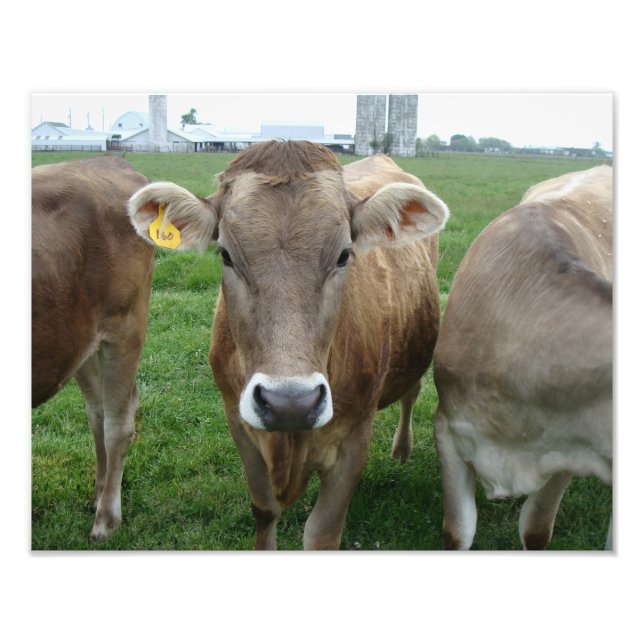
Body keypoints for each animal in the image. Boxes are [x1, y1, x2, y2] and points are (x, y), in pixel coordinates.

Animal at [32, 156, 154, 539]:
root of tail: (106, 158)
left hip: (125, 326)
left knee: (118, 425)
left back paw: (106, 518)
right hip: (79, 340)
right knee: (97, 416)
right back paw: (99, 494)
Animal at [128, 141, 449, 549]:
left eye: (344, 254)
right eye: (226, 254)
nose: (290, 403)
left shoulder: (355, 439)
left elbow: (322, 533)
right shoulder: (240, 423)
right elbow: (264, 510)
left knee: (412, 391)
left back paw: (402, 449)